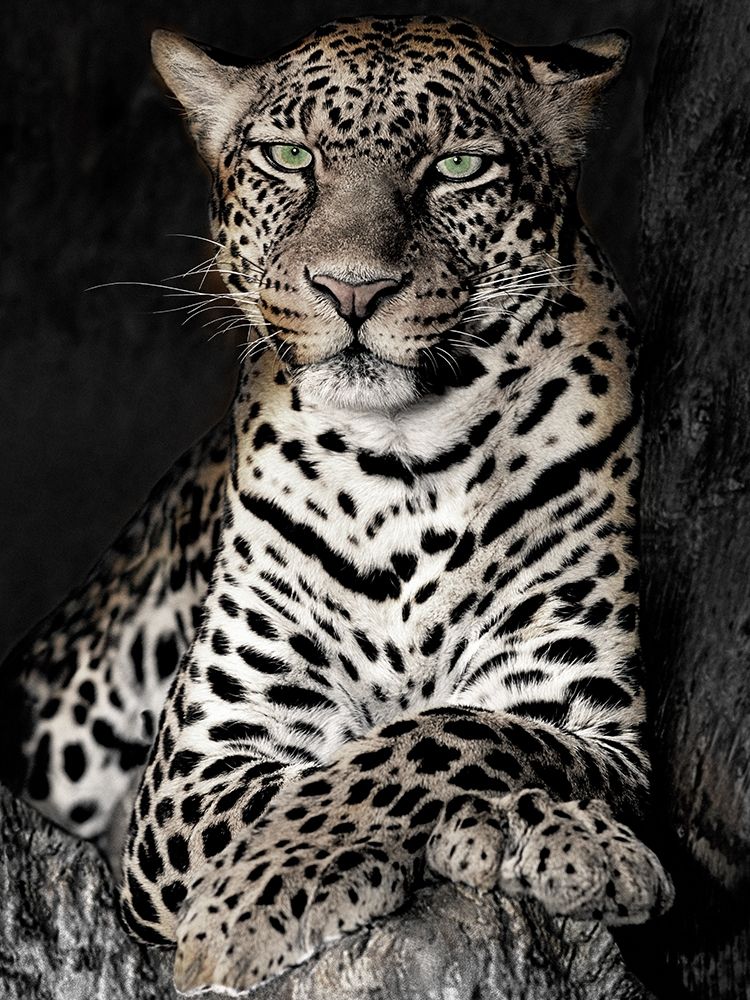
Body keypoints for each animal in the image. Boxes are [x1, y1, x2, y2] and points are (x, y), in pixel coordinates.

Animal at [0, 15, 674, 996]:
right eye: (290, 157)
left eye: (457, 167)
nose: (353, 288)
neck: (409, 462)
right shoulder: (199, 768)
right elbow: (332, 776)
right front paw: (252, 904)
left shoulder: (590, 714)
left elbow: (453, 736)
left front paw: (555, 837)